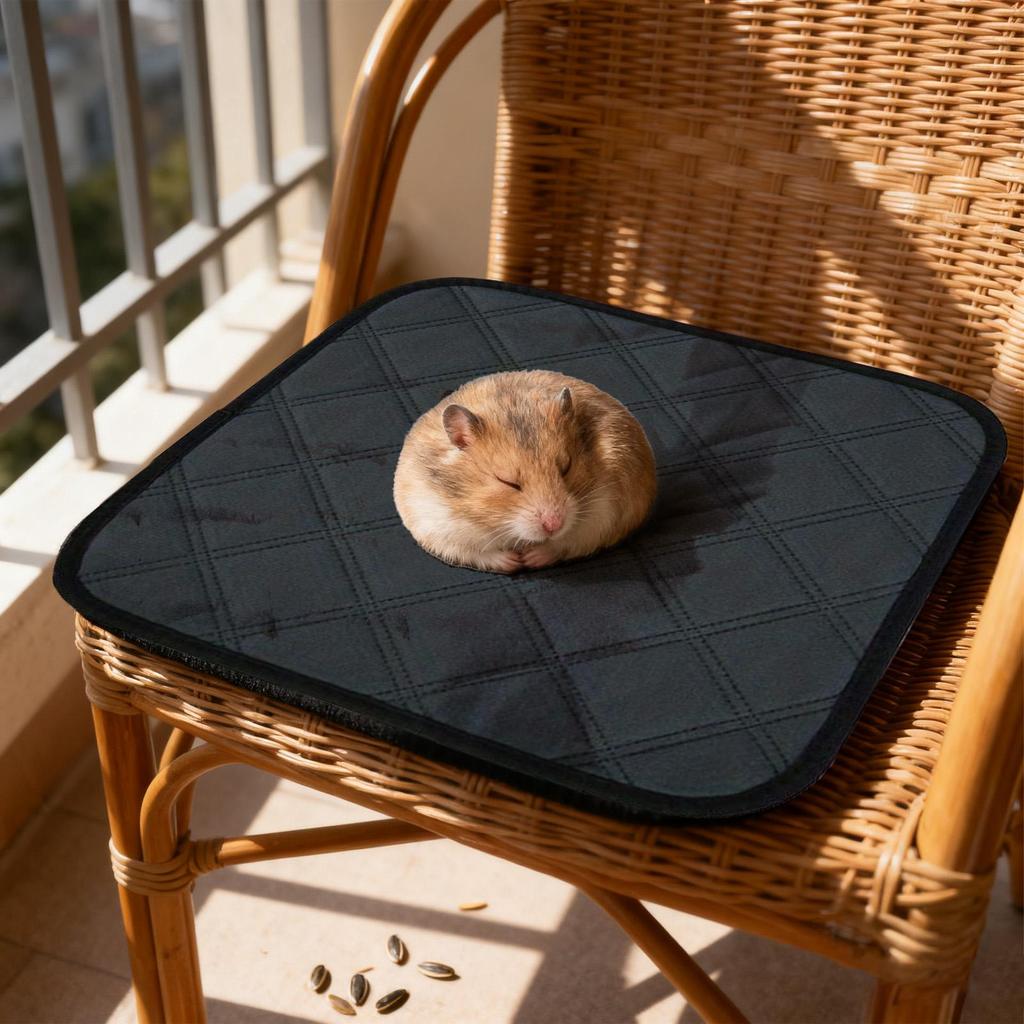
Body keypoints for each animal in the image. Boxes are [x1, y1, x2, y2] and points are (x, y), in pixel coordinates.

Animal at [393, 369, 657, 573]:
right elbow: (478, 552)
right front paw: (514, 562)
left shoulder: (606, 513)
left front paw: (529, 559)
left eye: (566, 467)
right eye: (507, 481)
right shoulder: (436, 525)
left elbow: (567, 542)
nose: (554, 525)